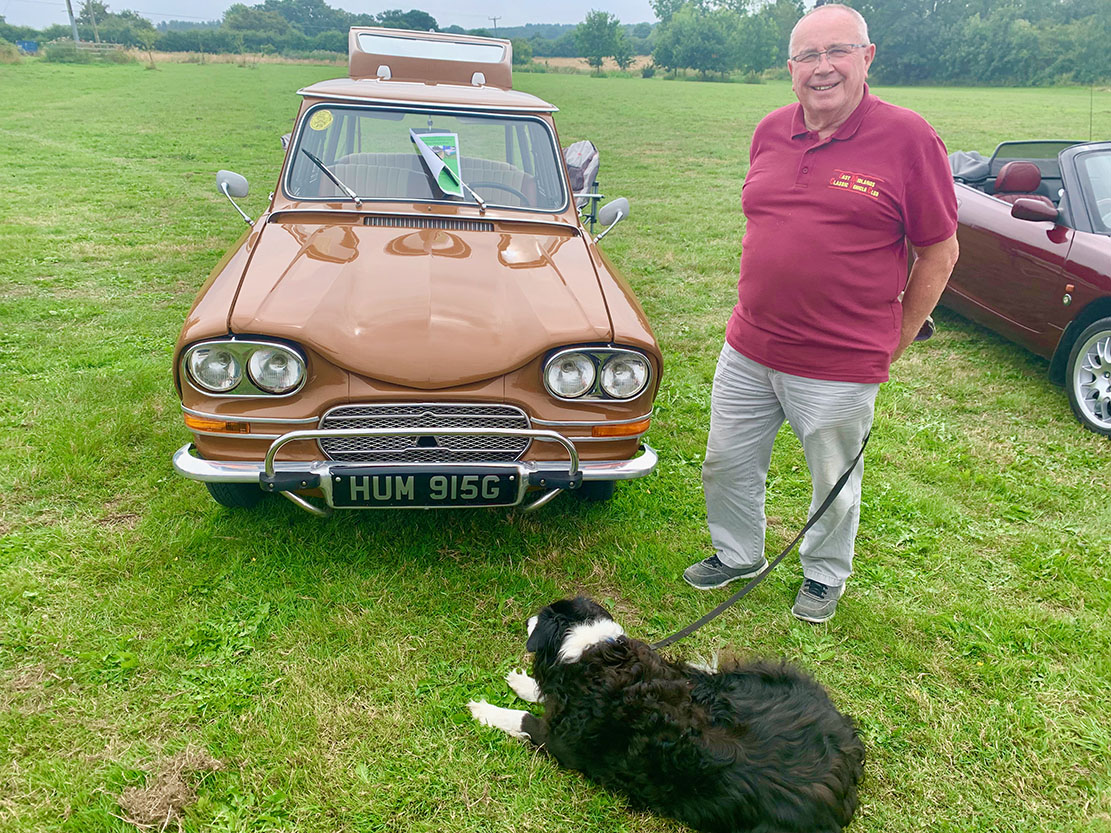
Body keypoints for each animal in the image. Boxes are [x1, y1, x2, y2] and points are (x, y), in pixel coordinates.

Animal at [468, 597, 865, 833]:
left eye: (543, 616)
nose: (526, 617)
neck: (593, 651)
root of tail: (846, 762)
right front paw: (523, 682)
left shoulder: (561, 742)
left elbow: (524, 717)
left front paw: (484, 710)